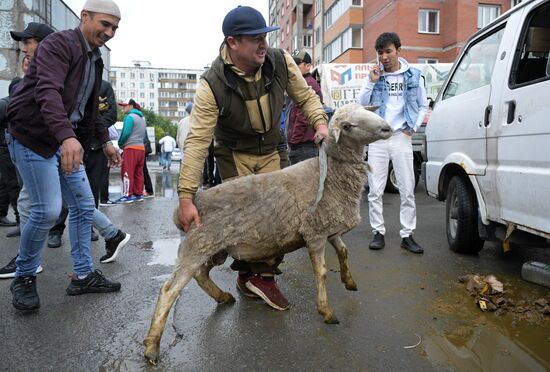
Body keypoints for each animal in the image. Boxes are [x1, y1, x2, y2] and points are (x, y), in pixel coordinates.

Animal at [142, 102, 392, 364]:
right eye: (347, 126)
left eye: (366, 110)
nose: (387, 128)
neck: (329, 173)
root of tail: (192, 203)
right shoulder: (314, 232)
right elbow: (322, 272)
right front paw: (326, 311)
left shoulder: (330, 228)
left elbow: (344, 252)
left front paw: (349, 281)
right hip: (198, 246)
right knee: (169, 291)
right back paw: (152, 347)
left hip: (215, 248)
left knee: (201, 275)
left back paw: (222, 297)